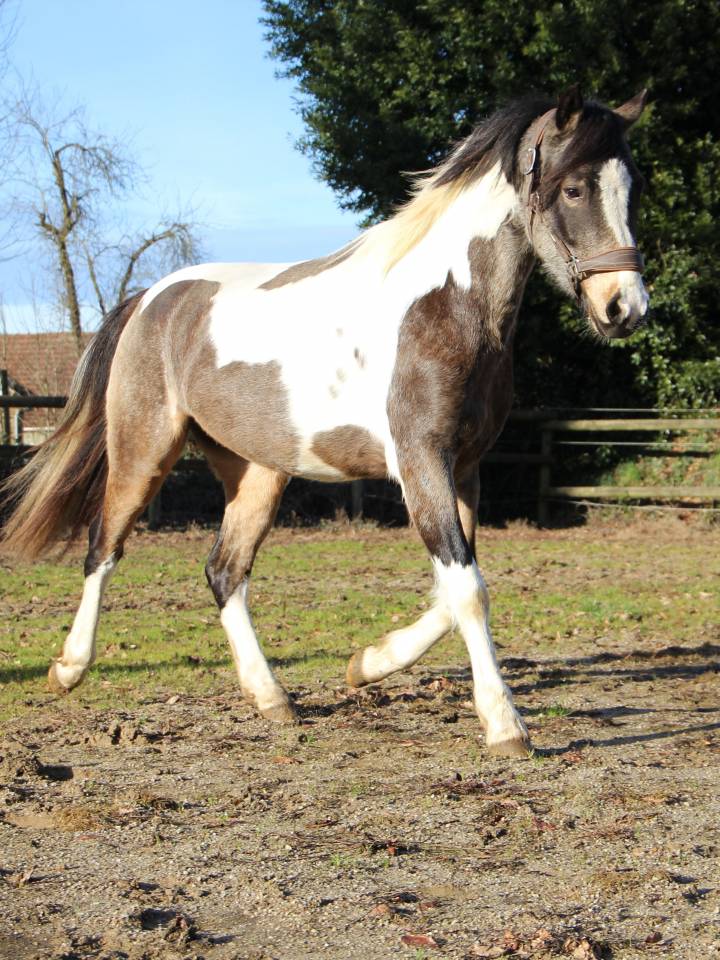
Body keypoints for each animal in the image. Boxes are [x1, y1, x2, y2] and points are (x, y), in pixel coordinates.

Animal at [1, 86, 649, 758]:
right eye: (573, 189)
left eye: (632, 187)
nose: (625, 307)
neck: (445, 307)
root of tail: (151, 298)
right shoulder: (421, 461)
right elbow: (468, 589)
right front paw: (504, 724)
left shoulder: (465, 468)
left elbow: (454, 588)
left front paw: (367, 663)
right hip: (144, 450)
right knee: (103, 548)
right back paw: (68, 668)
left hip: (257, 473)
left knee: (224, 571)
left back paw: (272, 698)